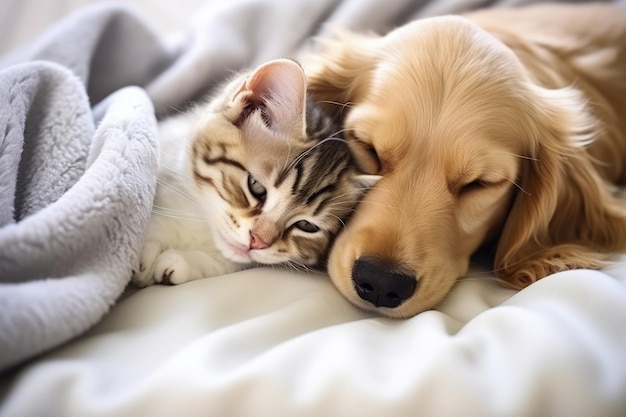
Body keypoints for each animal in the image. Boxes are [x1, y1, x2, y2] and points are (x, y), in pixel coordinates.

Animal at [133, 58, 376, 286]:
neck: (202, 222)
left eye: (307, 226)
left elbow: (227, 261)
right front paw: (147, 248)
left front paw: (185, 262)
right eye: (256, 187)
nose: (258, 241)